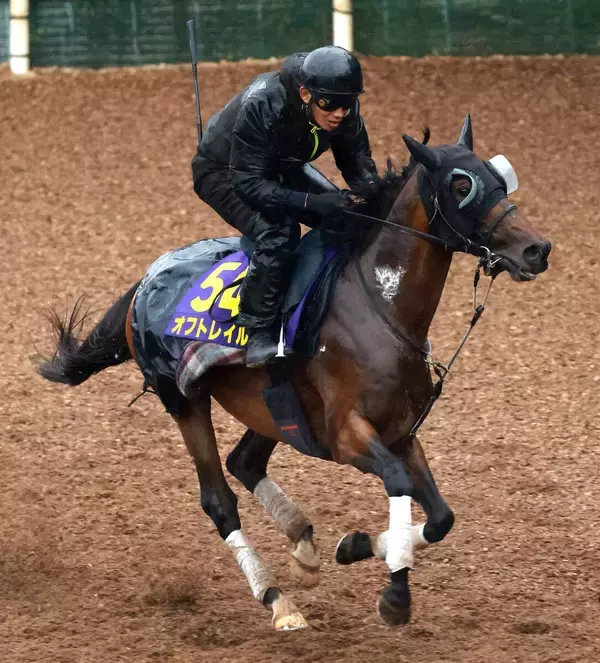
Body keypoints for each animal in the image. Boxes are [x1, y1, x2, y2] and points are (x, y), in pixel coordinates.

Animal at [39, 115, 551, 631]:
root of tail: (145, 281)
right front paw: (394, 593)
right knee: (219, 499)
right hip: (184, 401)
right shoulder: (347, 436)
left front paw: (354, 547)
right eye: (461, 185)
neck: (379, 308)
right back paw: (277, 599)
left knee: (244, 463)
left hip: (273, 409)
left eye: (497, 174)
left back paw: (302, 540)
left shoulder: (402, 432)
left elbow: (442, 517)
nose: (537, 249)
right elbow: (398, 483)